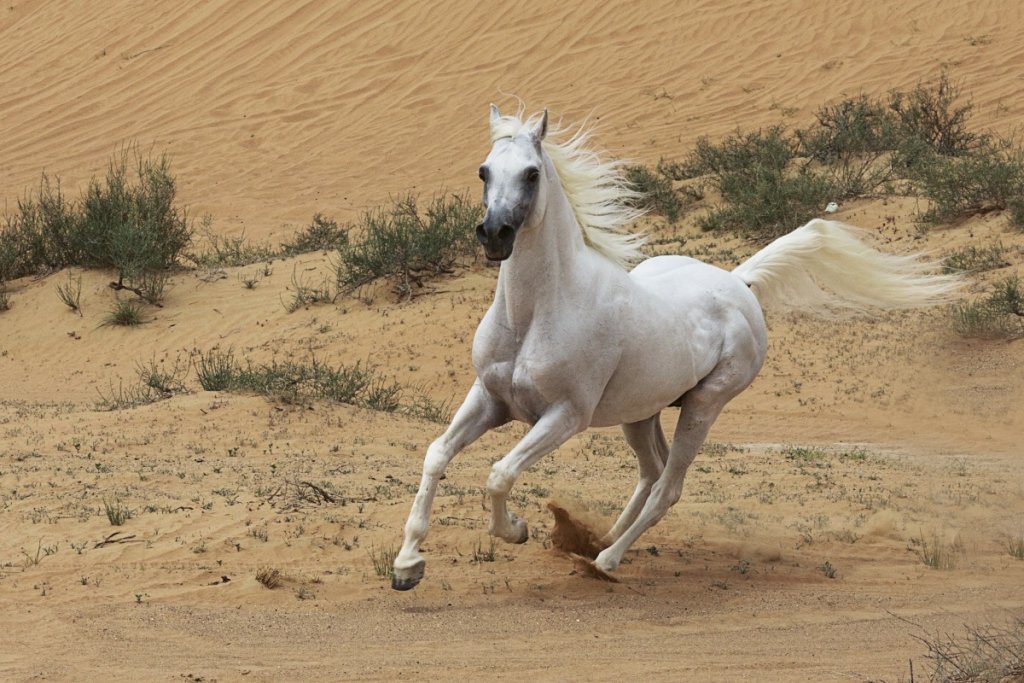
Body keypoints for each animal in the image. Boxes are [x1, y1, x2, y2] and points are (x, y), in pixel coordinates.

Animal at [390, 105, 959, 590]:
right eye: (484, 171)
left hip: (704, 406)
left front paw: (516, 530)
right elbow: (437, 454)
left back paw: (605, 560)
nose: (494, 235)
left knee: (669, 484)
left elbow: (499, 474)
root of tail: (738, 281)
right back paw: (594, 540)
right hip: (641, 412)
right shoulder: (490, 399)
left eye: (531, 173)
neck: (536, 313)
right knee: (651, 472)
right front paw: (407, 565)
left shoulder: (564, 416)